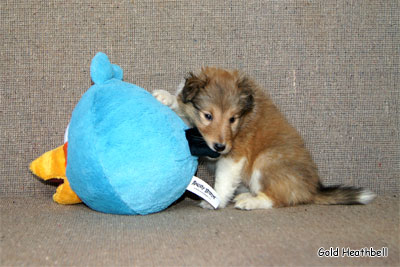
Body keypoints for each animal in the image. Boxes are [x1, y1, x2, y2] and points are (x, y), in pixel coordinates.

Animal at [152, 68, 376, 210]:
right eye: (208, 115)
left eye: (232, 119)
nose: (220, 147)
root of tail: (311, 190)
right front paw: (166, 97)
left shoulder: (234, 156)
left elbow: (223, 181)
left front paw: (215, 201)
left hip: (266, 161)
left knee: (280, 198)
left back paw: (250, 201)